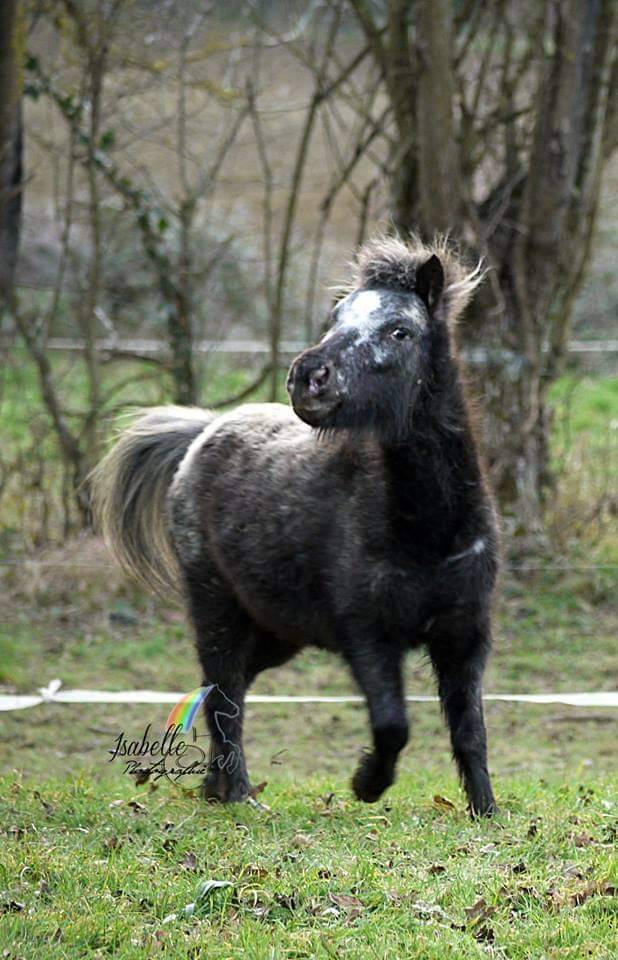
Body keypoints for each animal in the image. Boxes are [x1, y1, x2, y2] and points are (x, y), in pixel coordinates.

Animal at [90, 235, 499, 815]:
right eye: (336, 319)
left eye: (400, 330)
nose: (308, 377)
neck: (430, 530)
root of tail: (204, 431)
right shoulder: (367, 636)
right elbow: (393, 725)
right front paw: (367, 784)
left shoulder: (464, 634)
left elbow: (470, 729)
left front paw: (485, 811)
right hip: (216, 608)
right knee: (224, 694)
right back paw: (239, 794)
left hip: (277, 632)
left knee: (228, 688)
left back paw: (216, 788)